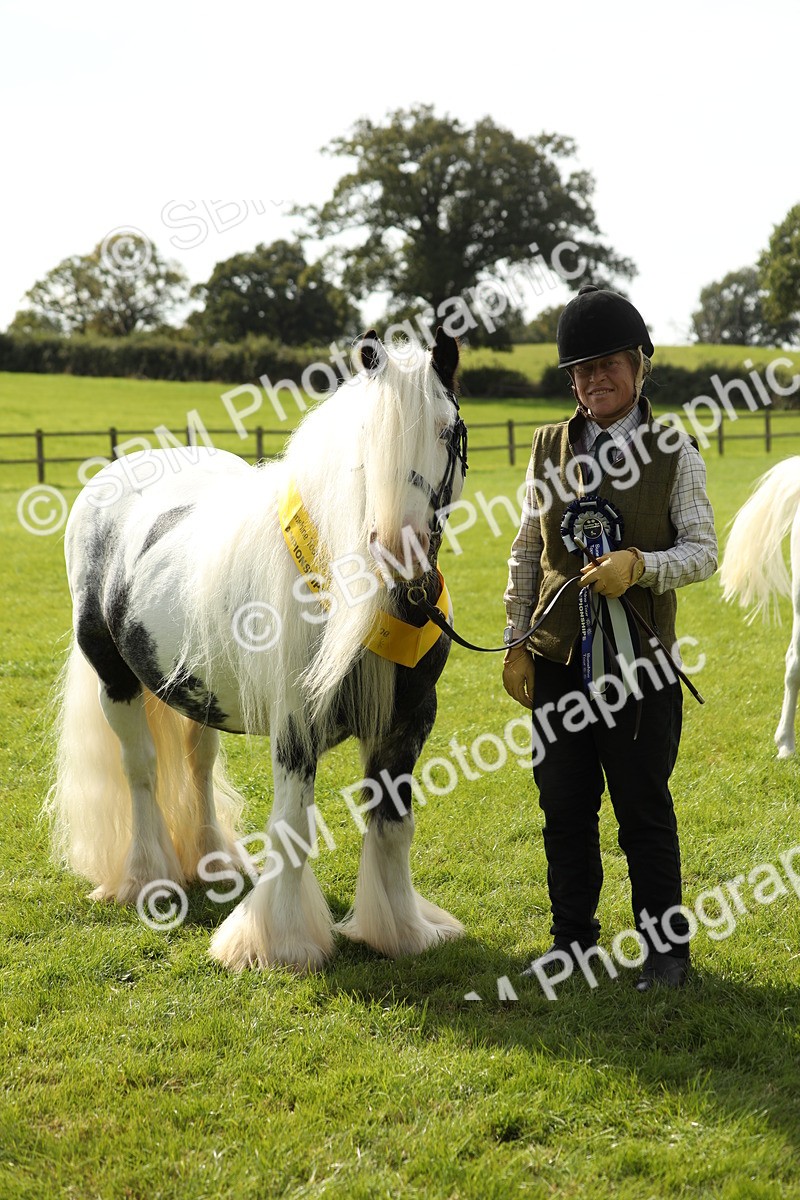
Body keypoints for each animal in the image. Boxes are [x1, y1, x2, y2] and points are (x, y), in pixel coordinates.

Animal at [46, 328, 469, 971]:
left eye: (447, 430)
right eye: (366, 439)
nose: (400, 558)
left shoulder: (409, 722)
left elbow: (392, 826)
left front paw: (399, 932)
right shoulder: (295, 726)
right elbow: (292, 825)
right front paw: (279, 944)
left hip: (196, 690)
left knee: (196, 763)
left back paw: (212, 860)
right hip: (114, 680)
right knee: (141, 770)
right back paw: (145, 879)